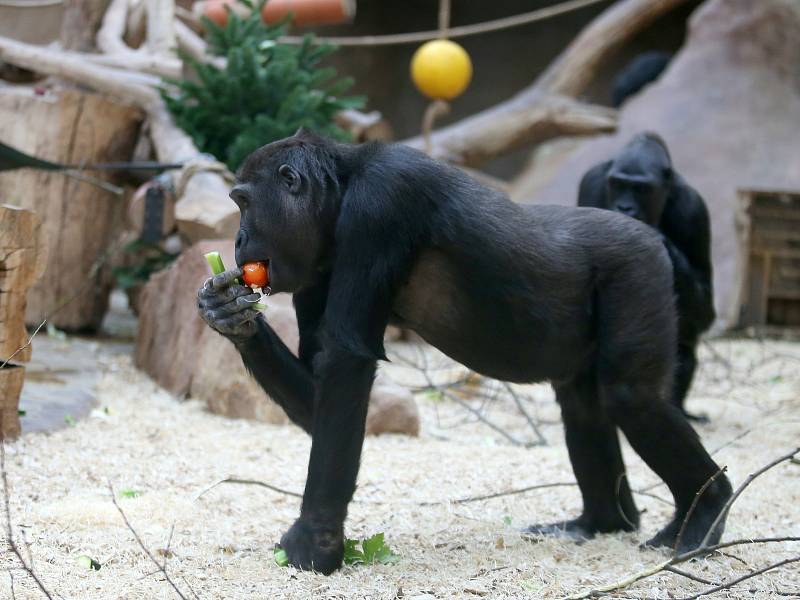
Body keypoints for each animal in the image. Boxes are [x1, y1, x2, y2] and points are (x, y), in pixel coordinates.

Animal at [580, 131, 716, 422]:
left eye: (641, 189)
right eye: (618, 184)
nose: (624, 207)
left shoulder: (693, 209)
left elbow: (704, 310)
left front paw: (659, 241)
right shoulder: (592, 182)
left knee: (681, 352)